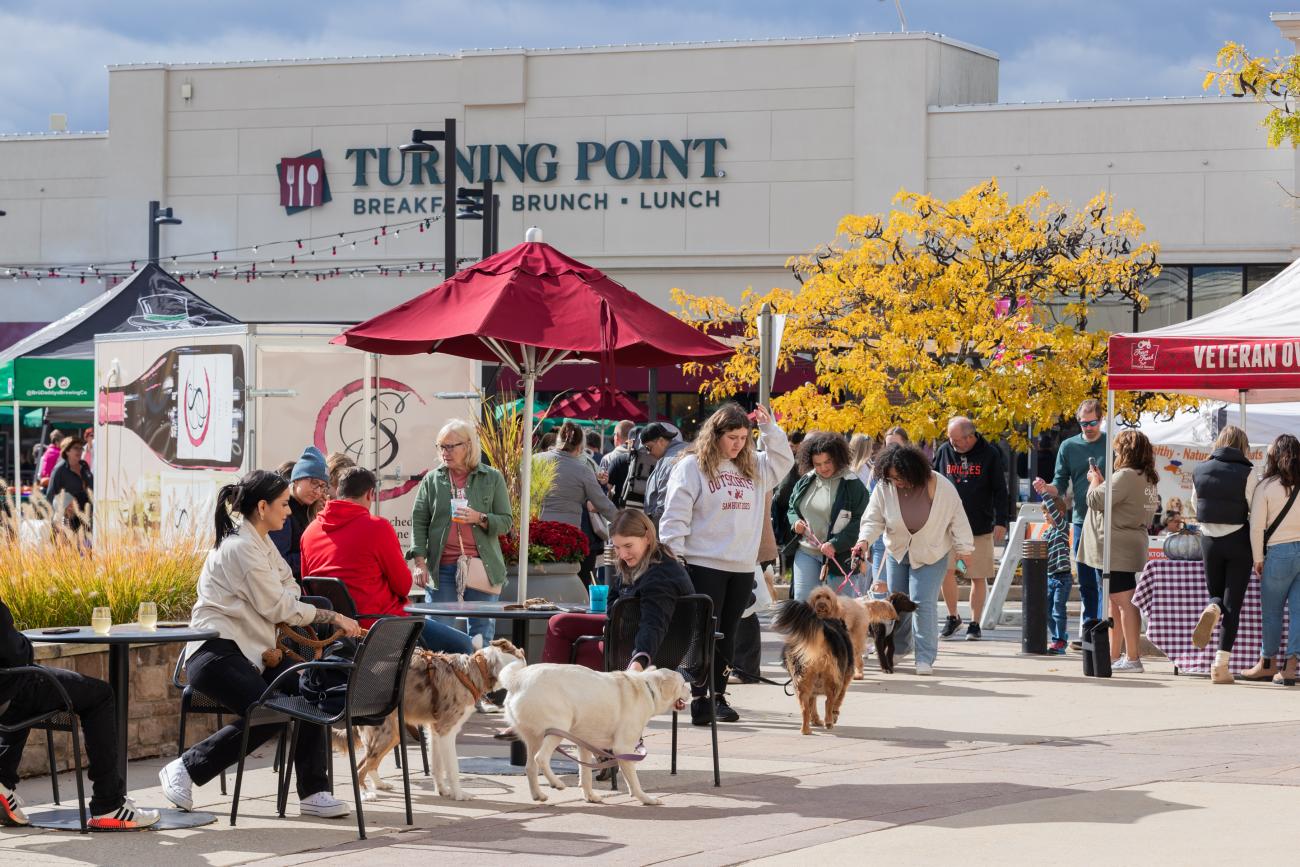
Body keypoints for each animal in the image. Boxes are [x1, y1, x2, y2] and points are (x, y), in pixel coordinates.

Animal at [343, 636, 530, 800]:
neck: (477, 669)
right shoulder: (446, 731)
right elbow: (453, 768)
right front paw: (459, 795)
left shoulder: (434, 731)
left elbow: (438, 767)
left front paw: (443, 791)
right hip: (384, 734)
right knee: (359, 768)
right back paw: (365, 794)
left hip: (392, 734)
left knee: (369, 764)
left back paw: (379, 784)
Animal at [499, 665, 691, 805]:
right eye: (683, 684)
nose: (691, 690)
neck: (648, 688)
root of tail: (517, 679)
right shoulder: (623, 748)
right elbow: (634, 782)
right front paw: (646, 799)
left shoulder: (584, 744)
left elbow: (585, 775)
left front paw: (590, 796)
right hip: (557, 729)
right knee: (541, 759)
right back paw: (556, 783)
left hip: (534, 738)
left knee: (530, 767)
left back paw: (538, 794)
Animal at [769, 600, 852, 738]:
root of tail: (823, 633)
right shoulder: (844, 682)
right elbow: (837, 701)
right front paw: (833, 716)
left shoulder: (812, 691)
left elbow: (812, 704)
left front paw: (815, 720)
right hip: (834, 680)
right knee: (829, 702)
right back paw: (829, 722)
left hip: (802, 682)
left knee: (805, 708)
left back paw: (805, 730)